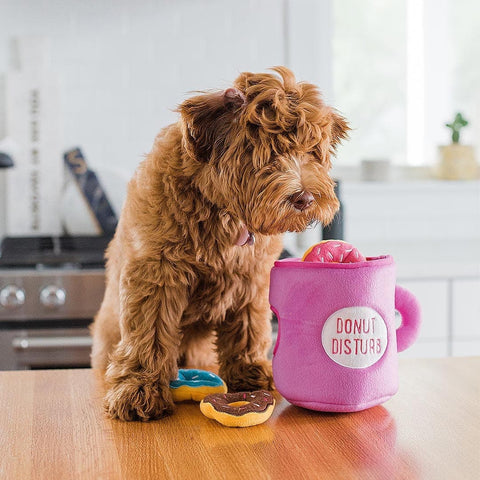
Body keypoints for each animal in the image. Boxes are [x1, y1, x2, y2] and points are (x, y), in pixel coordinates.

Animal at [90, 66, 346, 420]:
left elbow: (248, 328)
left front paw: (250, 372)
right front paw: (139, 389)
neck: (222, 213)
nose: (305, 198)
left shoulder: (252, 278)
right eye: (268, 153)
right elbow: (149, 332)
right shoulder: (156, 274)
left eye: (312, 152)